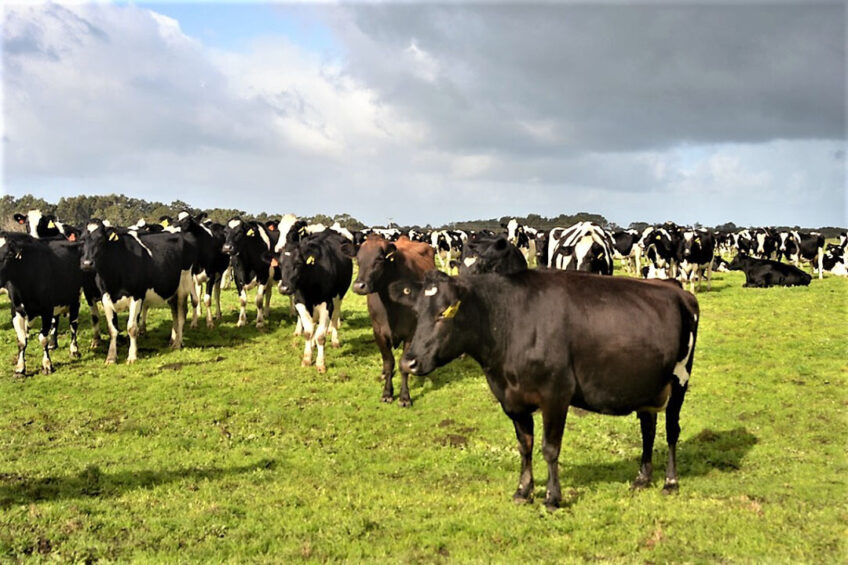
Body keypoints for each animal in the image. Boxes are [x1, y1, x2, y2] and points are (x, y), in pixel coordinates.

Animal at [0, 234, 90, 374]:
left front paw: (47, 364)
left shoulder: (46, 310)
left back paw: (74, 350)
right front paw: (20, 368)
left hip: (76, 298)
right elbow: (21, 340)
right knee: (55, 321)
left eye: (9, 255)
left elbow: (42, 339)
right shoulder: (16, 311)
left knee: (73, 325)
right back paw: (53, 344)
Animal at [78, 218, 193, 364]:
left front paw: (132, 356)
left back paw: (178, 343)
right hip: (170, 289)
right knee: (174, 313)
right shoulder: (105, 297)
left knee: (182, 313)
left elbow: (132, 327)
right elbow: (112, 329)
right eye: (82, 240)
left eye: (101, 240)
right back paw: (172, 340)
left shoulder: (137, 296)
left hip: (183, 286)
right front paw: (111, 357)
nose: (87, 264)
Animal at [270, 229, 352, 370]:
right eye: (280, 264)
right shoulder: (300, 303)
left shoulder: (327, 304)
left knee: (335, 317)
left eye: (298, 263)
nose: (284, 288)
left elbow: (321, 336)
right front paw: (307, 359)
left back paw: (335, 340)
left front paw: (320, 363)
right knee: (314, 324)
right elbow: (308, 332)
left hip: (339, 295)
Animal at [346, 234, 438, 406]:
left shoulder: (410, 332)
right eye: (358, 260)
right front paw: (387, 392)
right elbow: (389, 362)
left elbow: (403, 364)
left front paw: (404, 397)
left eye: (379, 259)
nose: (358, 286)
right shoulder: (378, 332)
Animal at [388, 266, 700, 508]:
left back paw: (670, 481)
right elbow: (524, 446)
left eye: (444, 313)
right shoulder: (512, 399)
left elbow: (550, 448)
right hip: (647, 385)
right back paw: (642, 478)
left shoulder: (556, 394)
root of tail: (676, 288)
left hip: (679, 379)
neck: (508, 323)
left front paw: (552, 497)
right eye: (417, 312)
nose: (408, 362)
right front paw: (523, 490)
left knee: (672, 430)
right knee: (648, 429)